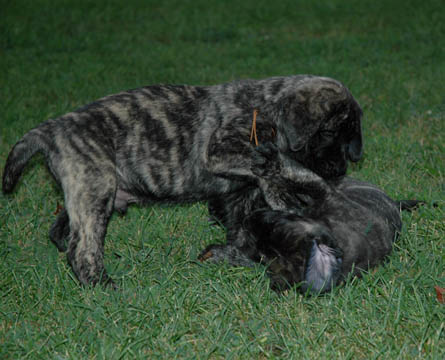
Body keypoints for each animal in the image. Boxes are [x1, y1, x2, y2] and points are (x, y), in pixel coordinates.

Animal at [2, 75, 360, 286]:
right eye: (330, 131)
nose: (340, 168)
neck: (267, 104)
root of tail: (51, 130)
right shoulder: (219, 150)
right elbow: (266, 163)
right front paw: (283, 194)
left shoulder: (240, 193)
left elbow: (244, 222)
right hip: (95, 188)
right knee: (83, 248)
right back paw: (102, 286)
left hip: (88, 191)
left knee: (61, 231)